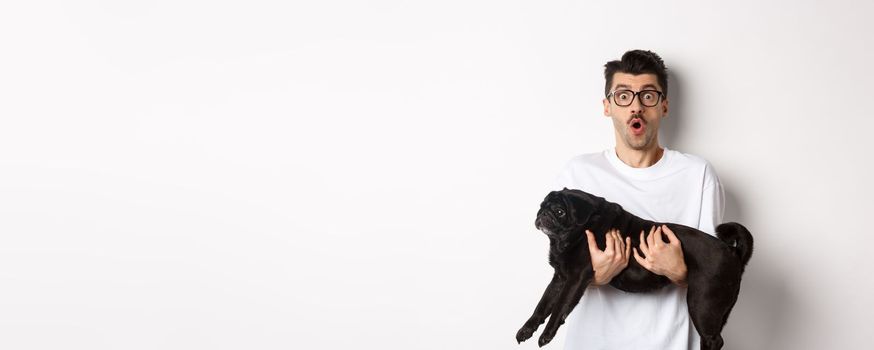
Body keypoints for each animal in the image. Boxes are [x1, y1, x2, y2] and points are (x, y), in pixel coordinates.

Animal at [516, 189, 752, 350]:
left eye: (559, 212)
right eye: (542, 205)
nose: (543, 213)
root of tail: (732, 253)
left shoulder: (574, 279)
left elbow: (558, 308)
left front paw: (547, 334)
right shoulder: (559, 279)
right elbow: (543, 305)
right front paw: (527, 329)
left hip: (701, 304)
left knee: (713, 339)